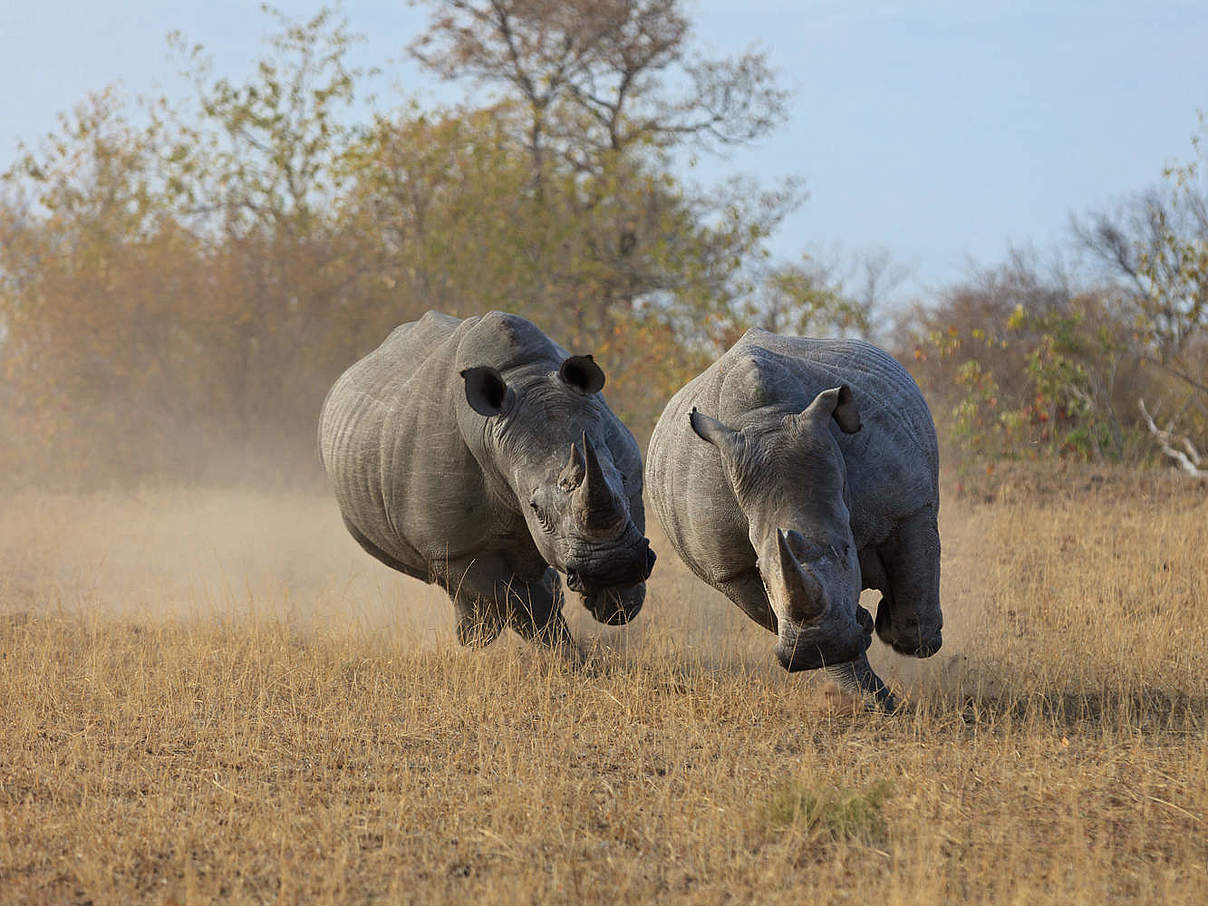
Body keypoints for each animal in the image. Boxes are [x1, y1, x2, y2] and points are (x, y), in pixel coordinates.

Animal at [321, 314, 657, 652]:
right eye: (535, 508)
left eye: (623, 479)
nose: (613, 566)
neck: (526, 377)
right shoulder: (454, 544)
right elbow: (515, 600)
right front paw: (566, 654)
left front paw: (616, 604)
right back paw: (476, 636)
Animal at [647, 330, 937, 715]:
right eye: (760, 570)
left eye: (847, 549)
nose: (819, 645)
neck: (766, 418)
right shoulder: (729, 569)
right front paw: (853, 643)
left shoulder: (908, 504)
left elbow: (916, 577)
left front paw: (896, 633)